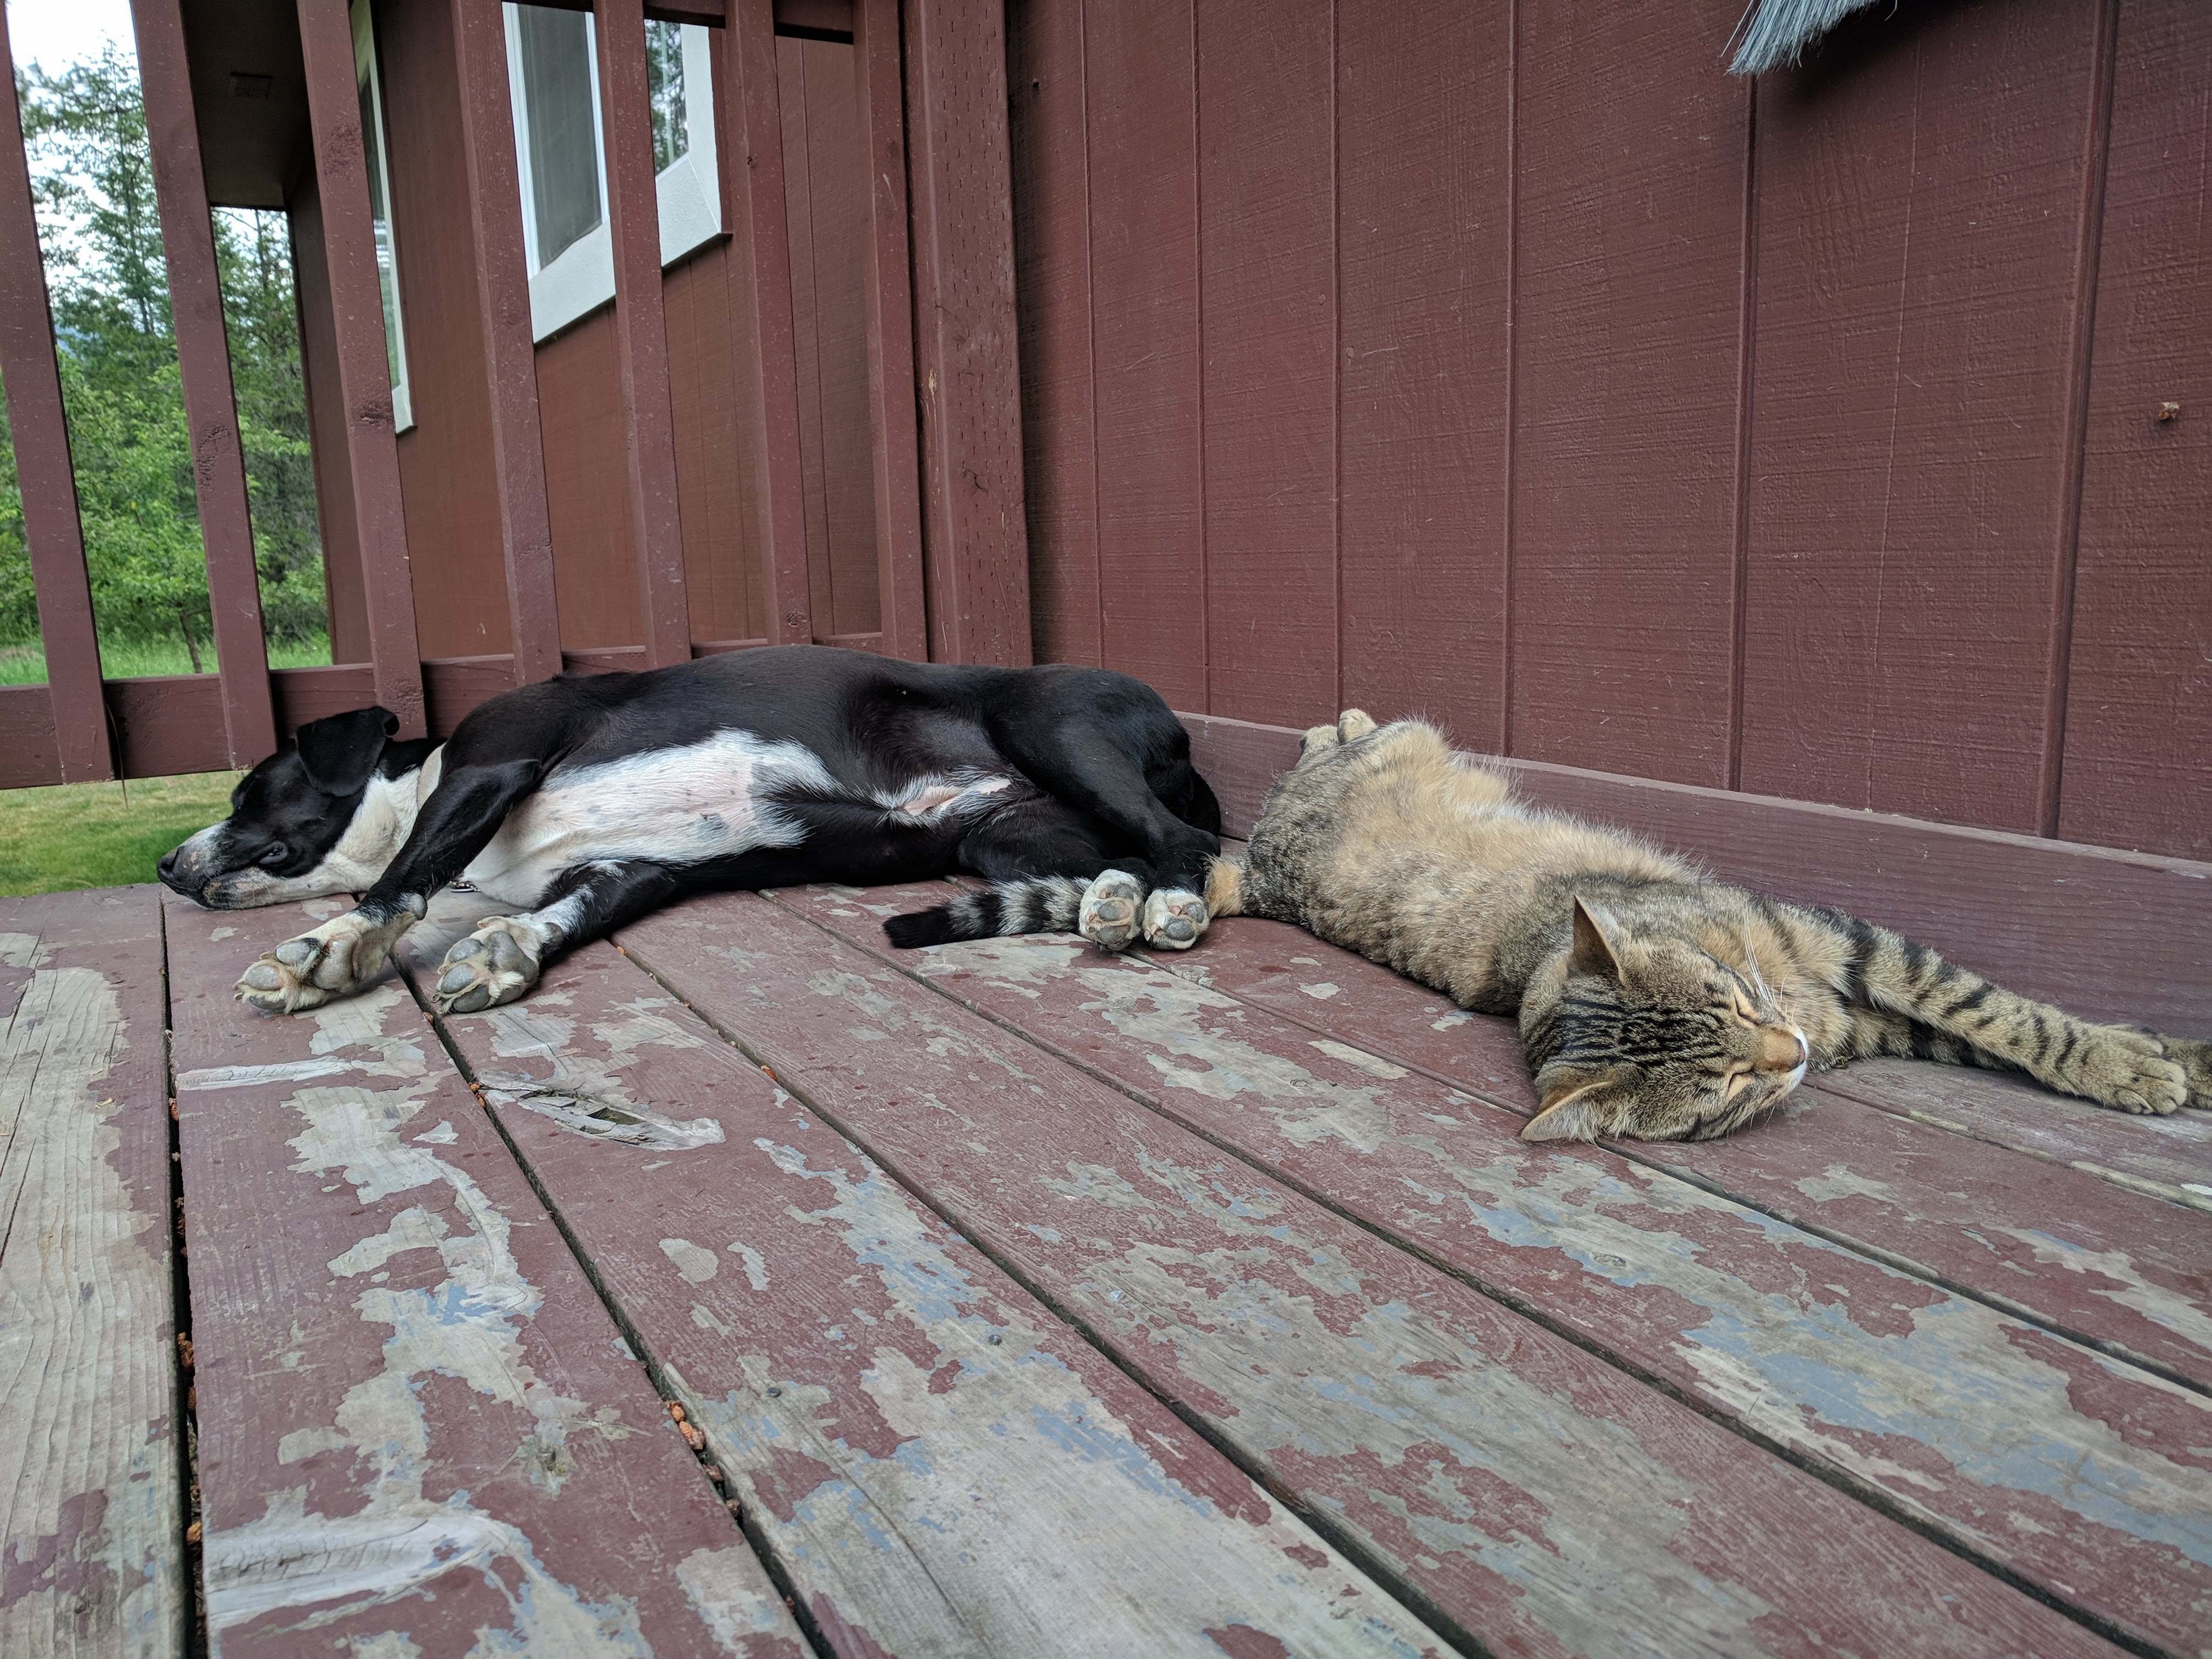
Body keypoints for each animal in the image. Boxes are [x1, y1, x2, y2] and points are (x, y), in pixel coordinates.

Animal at [159, 646, 1224, 1015]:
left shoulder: (489, 769)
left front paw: (326, 950)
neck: (420, 772)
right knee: (1130, 855)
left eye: (250, 790)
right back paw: (1113, 900)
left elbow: (404, 878)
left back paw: (1165, 899)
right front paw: (506, 945)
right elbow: (559, 915)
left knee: (1190, 850)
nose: (166, 862)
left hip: (1057, 727)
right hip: (1008, 837)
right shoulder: (628, 869)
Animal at [889, 709, 2211, 1143]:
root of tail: (1265, 868)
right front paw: (2147, 1065)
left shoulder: (1850, 959)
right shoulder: (1858, 989)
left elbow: (2000, 1013)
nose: (1786, 1053)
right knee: (1346, 733)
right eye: (1726, 1086)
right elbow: (1997, 1018)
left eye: (1735, 999)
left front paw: (2162, 1056)